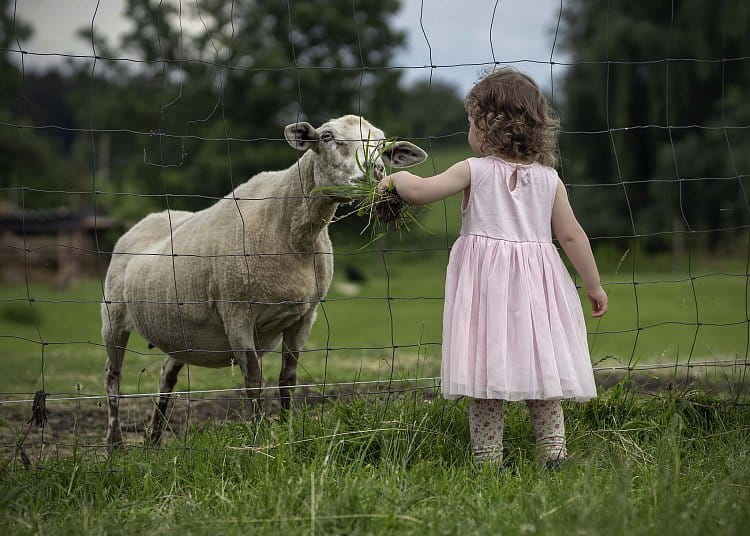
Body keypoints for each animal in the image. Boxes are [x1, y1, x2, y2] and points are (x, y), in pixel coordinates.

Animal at [101, 115, 428, 446]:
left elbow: (287, 380)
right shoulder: (237, 315)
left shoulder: (304, 316)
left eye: (383, 145)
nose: (377, 172)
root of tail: (146, 220)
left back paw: (154, 439)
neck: (291, 232)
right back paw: (115, 443)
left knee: (166, 374)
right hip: (113, 318)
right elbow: (254, 382)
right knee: (112, 377)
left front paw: (287, 430)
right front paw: (259, 440)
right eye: (326, 136)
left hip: (181, 332)